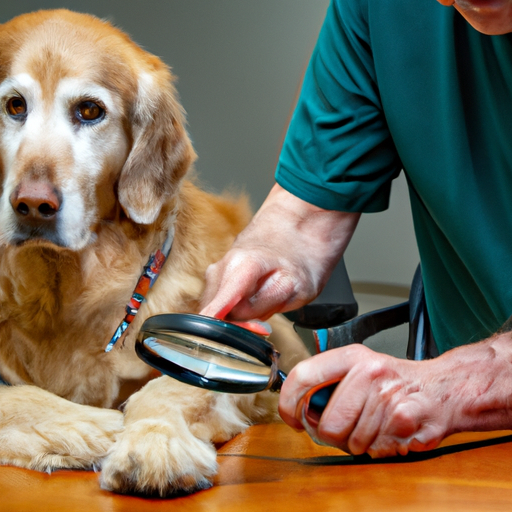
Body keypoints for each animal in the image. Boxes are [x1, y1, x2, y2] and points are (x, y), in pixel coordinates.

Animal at [0, 8, 306, 496]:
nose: (32, 205)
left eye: (90, 110)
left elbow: (170, 387)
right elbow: (15, 397)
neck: (70, 288)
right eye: (15, 106)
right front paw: (90, 425)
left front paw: (152, 445)